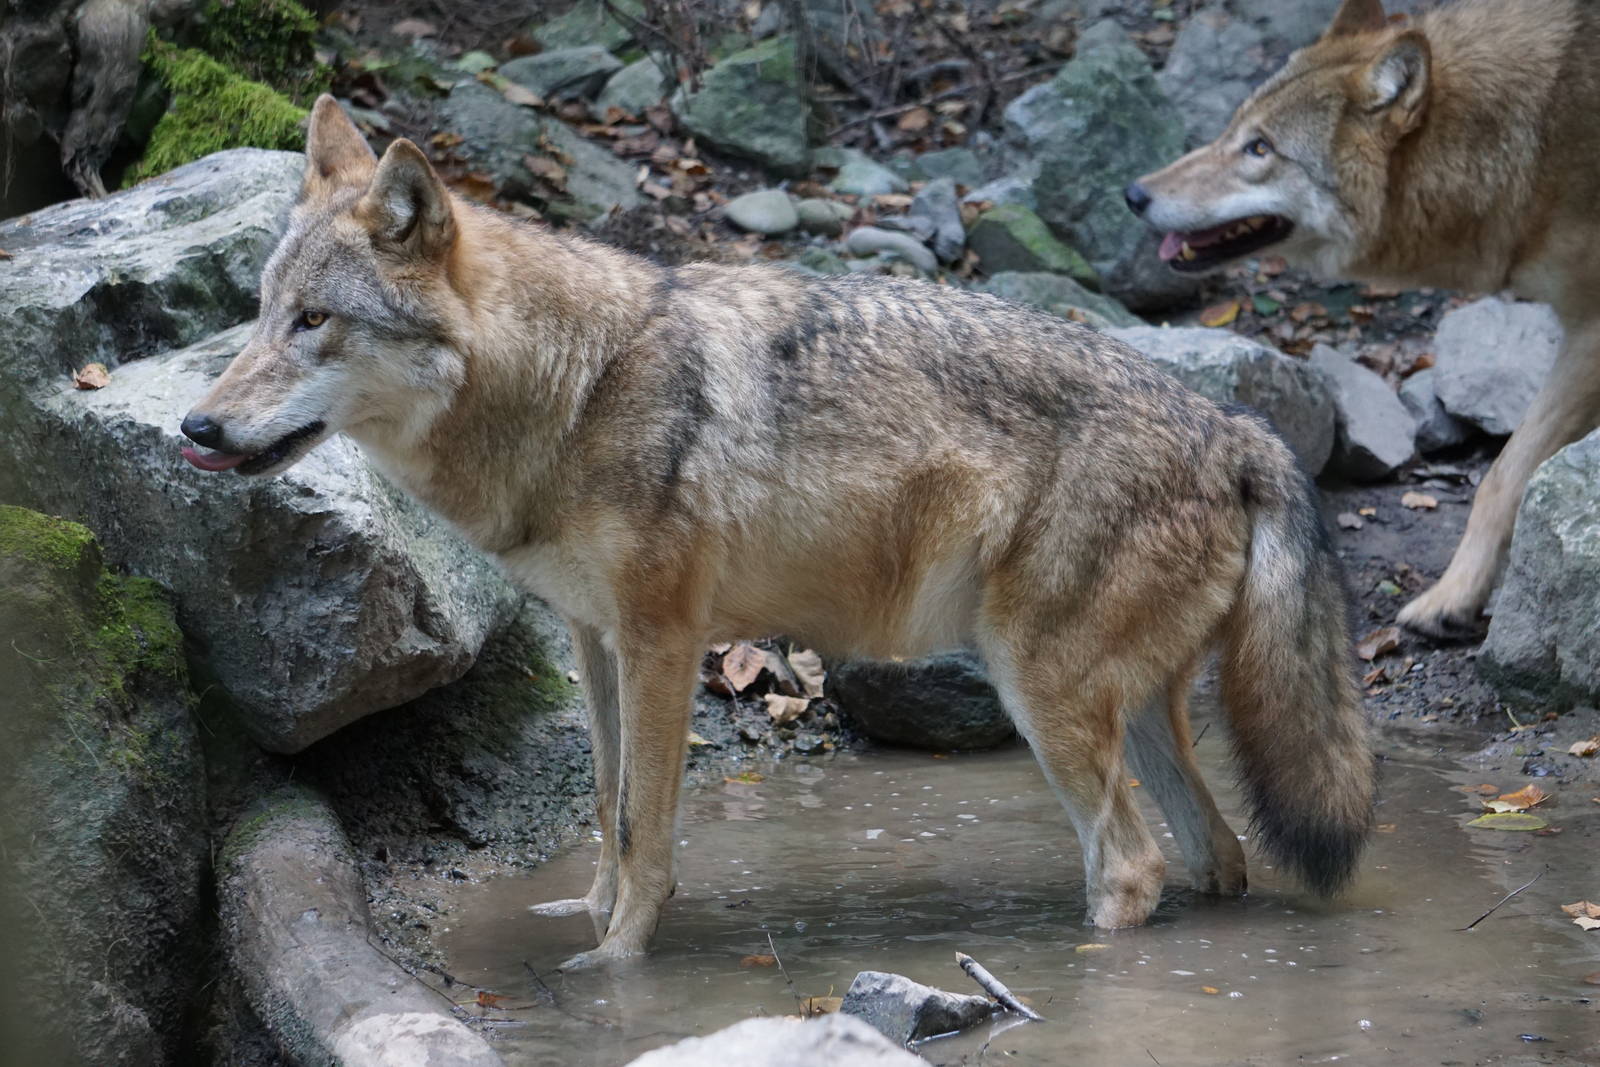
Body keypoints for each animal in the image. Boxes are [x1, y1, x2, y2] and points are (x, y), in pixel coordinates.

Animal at [181, 96, 1373, 967]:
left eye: (315, 321)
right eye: (260, 312)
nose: (197, 426)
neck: (572, 387)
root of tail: (1235, 426)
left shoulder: (664, 642)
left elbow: (645, 825)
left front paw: (615, 970)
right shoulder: (595, 640)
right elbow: (604, 809)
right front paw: (589, 927)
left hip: (1039, 692)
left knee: (1132, 866)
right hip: (1122, 714)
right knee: (1217, 856)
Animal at [1127, 0, 1600, 640]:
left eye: (1261, 149)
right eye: (1235, 130)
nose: (1133, 193)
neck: (1540, 134)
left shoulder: (1589, 329)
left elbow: (1504, 475)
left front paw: (1453, 596)